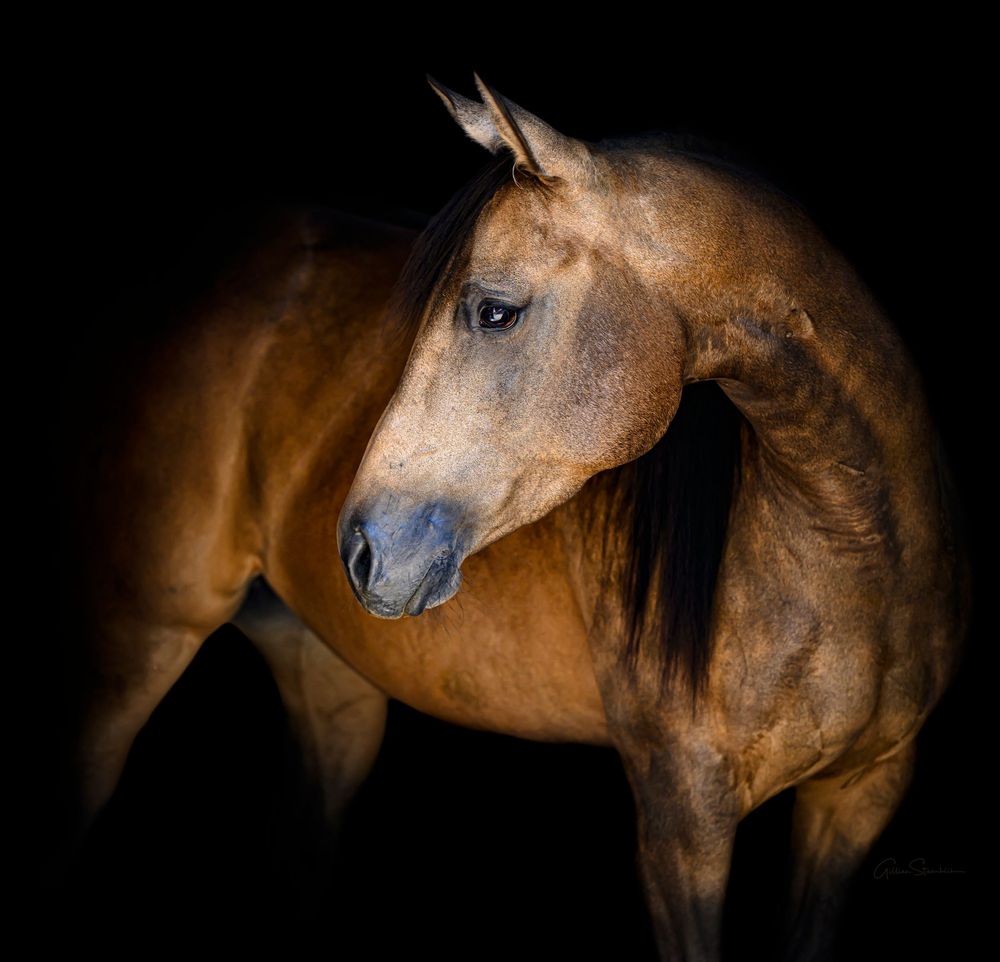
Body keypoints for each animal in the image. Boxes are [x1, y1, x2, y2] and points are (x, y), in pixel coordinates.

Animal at [34, 76, 969, 961]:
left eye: (493, 310)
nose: (363, 549)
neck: (847, 557)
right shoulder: (683, 819)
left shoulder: (860, 797)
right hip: (132, 652)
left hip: (330, 680)